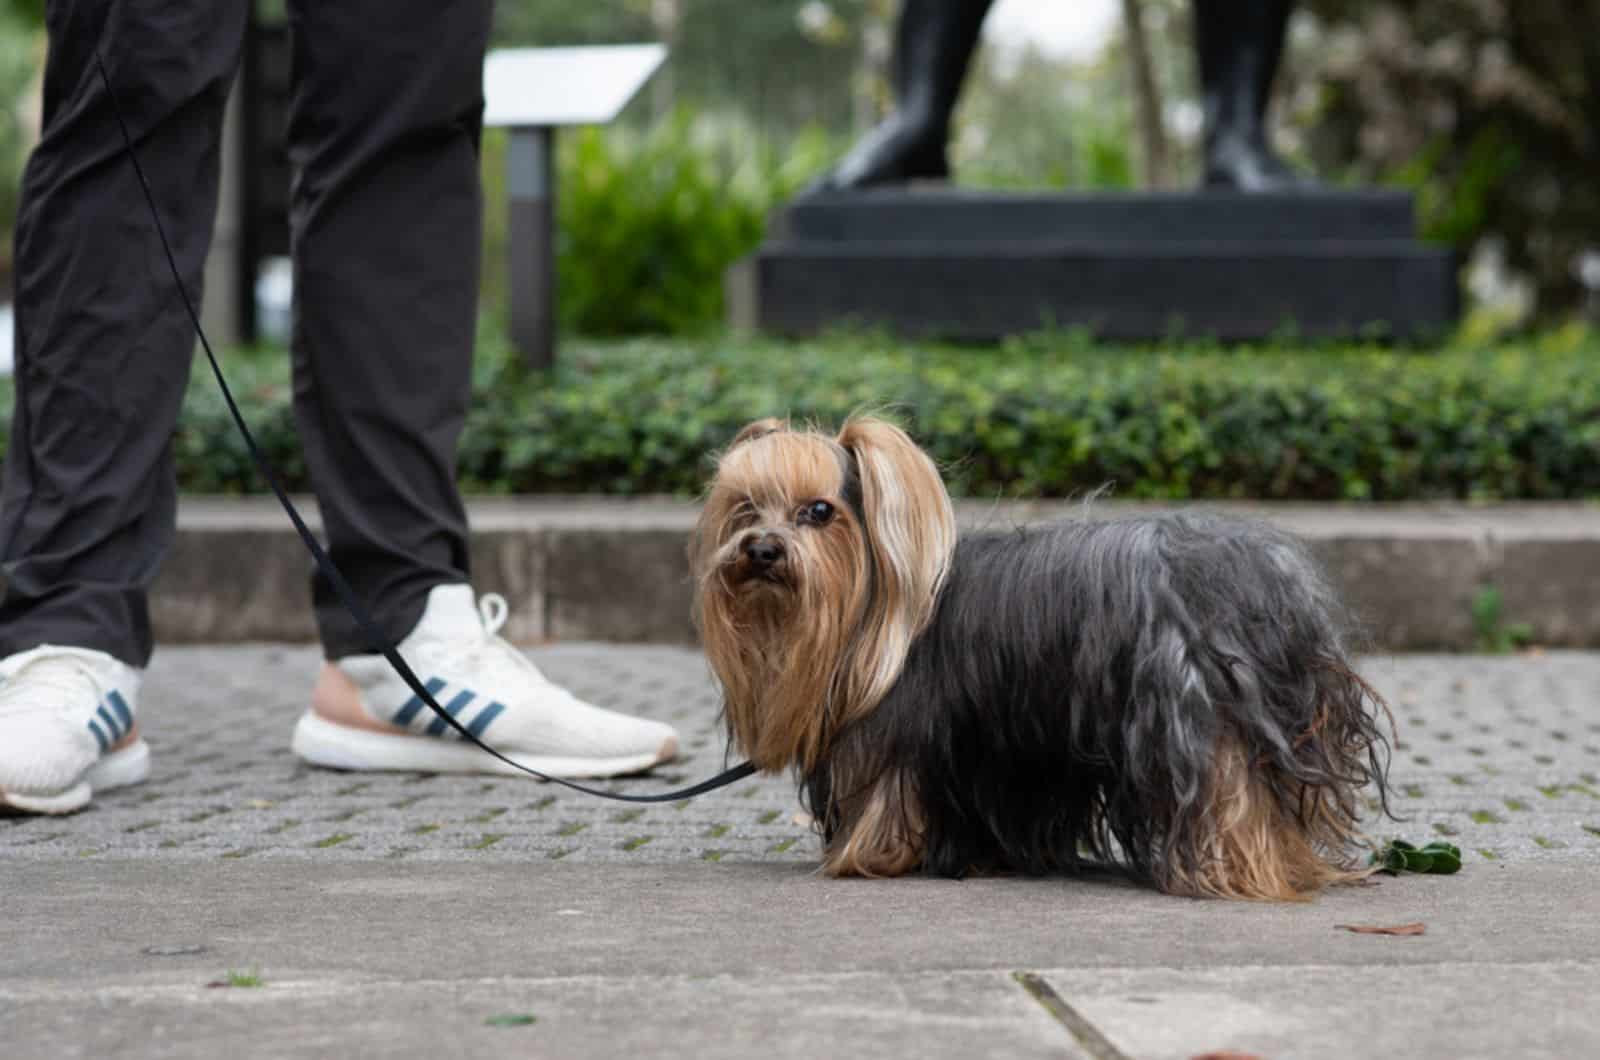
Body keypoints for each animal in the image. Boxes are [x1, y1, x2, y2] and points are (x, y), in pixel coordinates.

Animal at [694, 419, 1395, 903]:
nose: (761, 549)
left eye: (819, 512)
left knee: (1227, 797)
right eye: (746, 507)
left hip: (1189, 712)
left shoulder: (900, 738)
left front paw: (872, 857)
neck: (871, 612)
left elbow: (889, 802)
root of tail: (1261, 580)